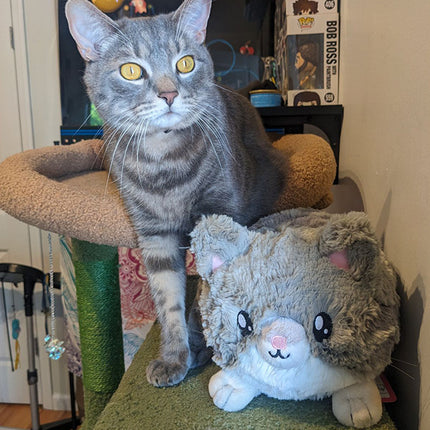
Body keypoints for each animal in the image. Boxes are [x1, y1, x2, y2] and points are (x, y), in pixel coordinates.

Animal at [64, 0, 286, 388]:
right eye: (131, 71)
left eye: (185, 63)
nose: (169, 94)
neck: (163, 163)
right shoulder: (155, 235)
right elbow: (168, 299)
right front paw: (174, 357)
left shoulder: (217, 217)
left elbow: (206, 295)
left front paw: (201, 346)